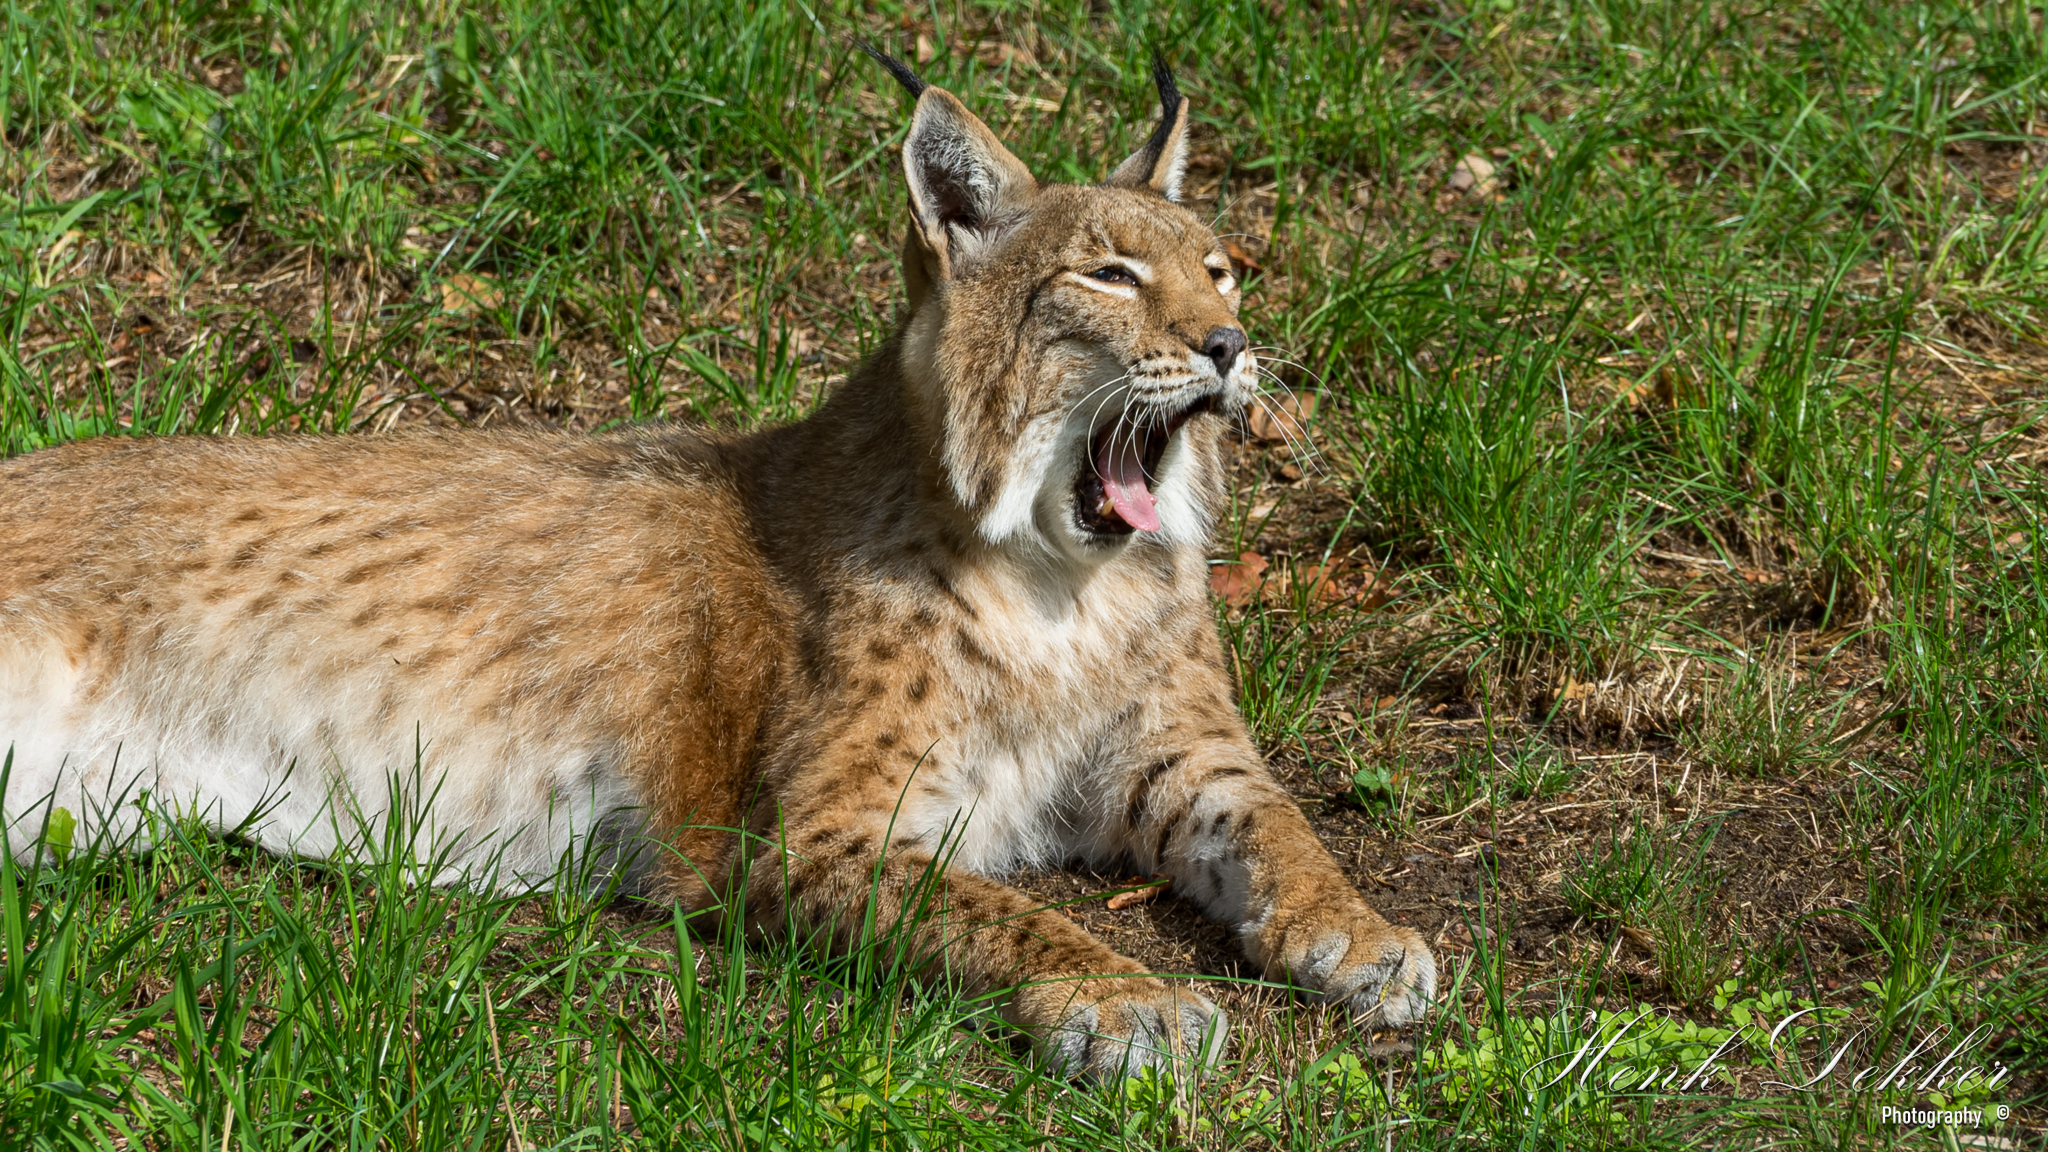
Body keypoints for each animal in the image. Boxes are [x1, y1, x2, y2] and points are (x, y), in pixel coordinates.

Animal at [0, 51, 1434, 1080]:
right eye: (1110, 276)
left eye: (1221, 269)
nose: (1232, 348)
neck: (1058, 575)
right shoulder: (809, 830)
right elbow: (998, 909)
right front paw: (1124, 995)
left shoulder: (1183, 755)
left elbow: (1284, 826)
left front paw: (1360, 936)